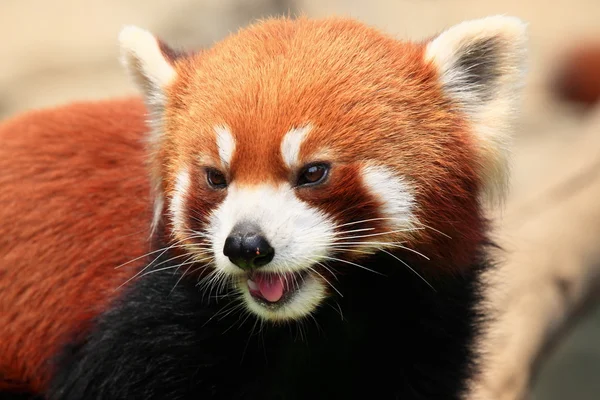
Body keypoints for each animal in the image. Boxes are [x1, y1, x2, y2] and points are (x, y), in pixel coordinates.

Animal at [1, 14, 524, 400]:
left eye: (312, 173)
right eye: (216, 177)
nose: (246, 246)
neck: (305, 327)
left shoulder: (422, 319)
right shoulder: (142, 332)